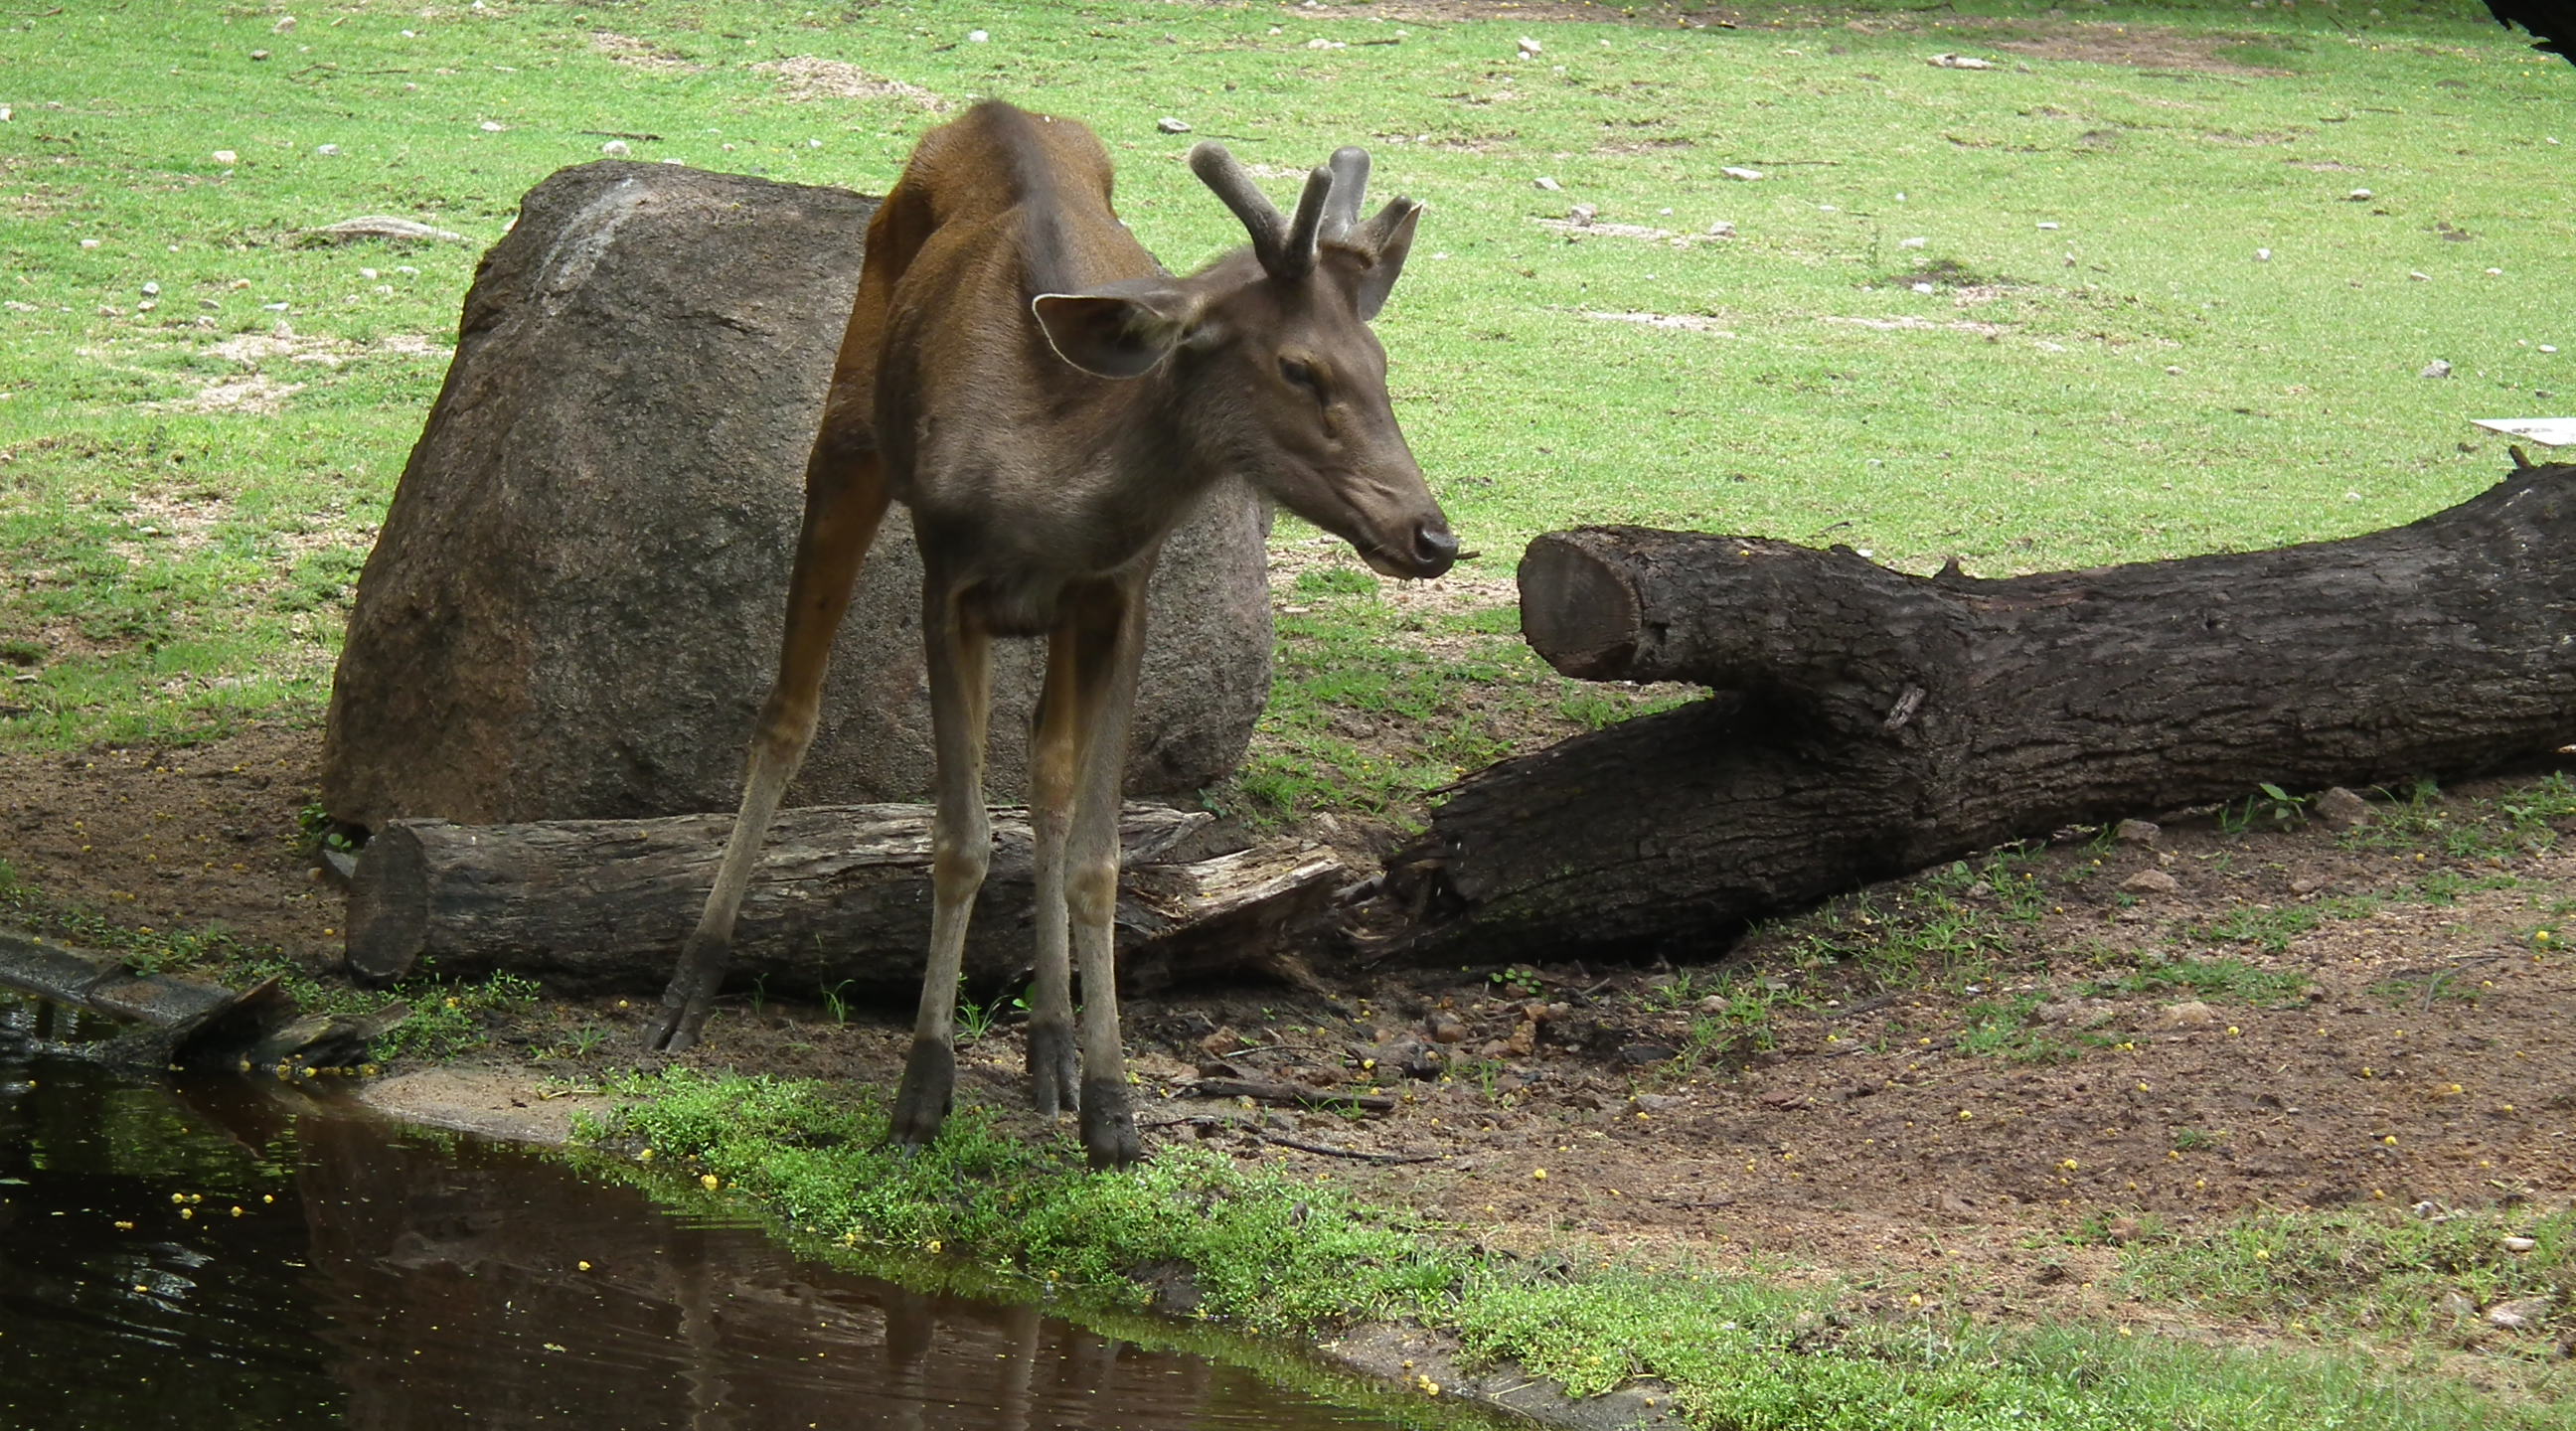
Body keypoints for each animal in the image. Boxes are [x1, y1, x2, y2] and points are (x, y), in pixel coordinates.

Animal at [644, 103, 1452, 1174]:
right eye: (1298, 366)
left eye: (1382, 366)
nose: (1433, 537)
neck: (1041, 487)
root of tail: (991, 111)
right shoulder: (948, 580)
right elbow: (958, 840)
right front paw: (921, 1093)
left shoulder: (1119, 595)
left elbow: (1097, 854)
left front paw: (1113, 1109)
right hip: (849, 429)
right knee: (788, 711)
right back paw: (687, 991)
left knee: (1049, 768)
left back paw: (1053, 1050)